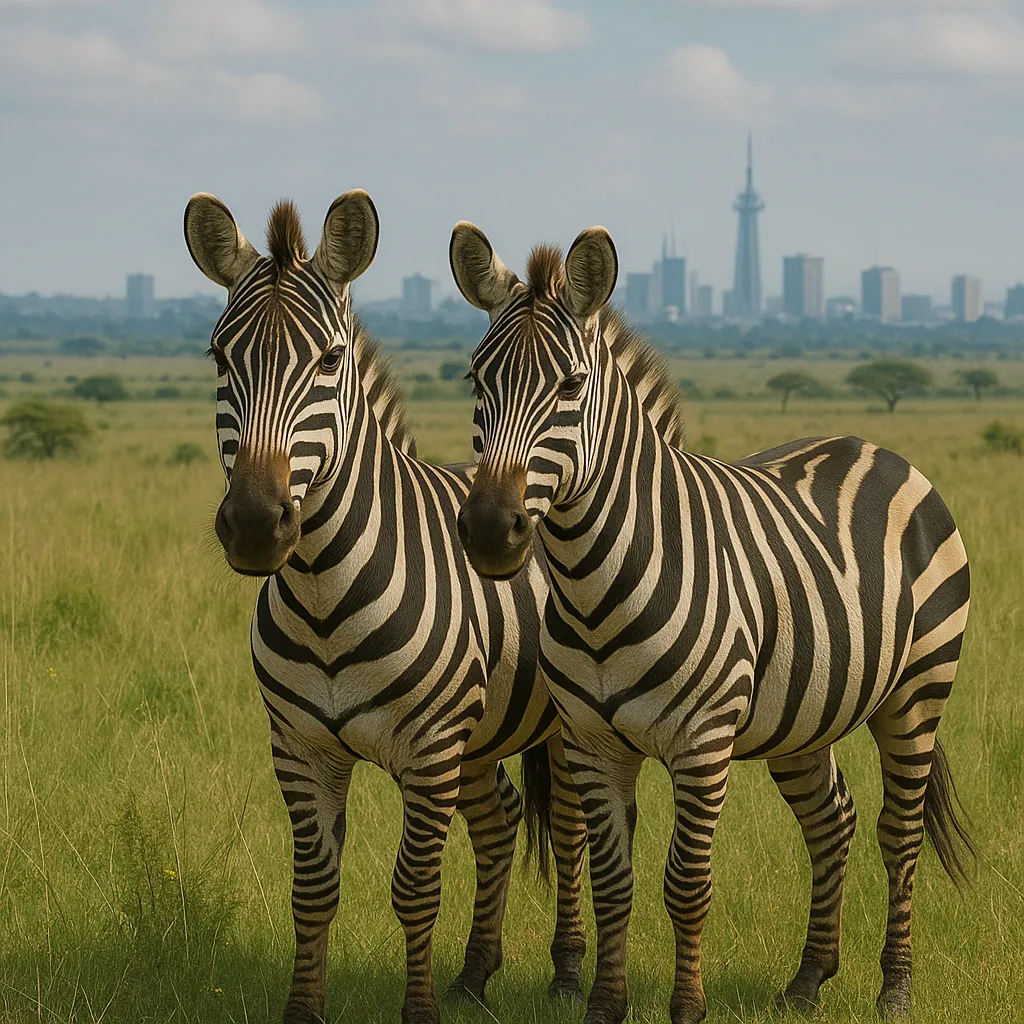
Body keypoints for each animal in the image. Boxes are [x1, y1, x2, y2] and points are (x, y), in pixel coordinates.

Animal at [182, 190, 588, 1024]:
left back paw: (565, 973)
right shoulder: (300, 747)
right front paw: (304, 1010)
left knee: (565, 826)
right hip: (479, 733)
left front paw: (420, 1011)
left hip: (556, 721)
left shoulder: (428, 751)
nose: (254, 523)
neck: (324, 594)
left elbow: (415, 890)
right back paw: (474, 976)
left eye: (328, 363)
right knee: (500, 821)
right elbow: (312, 891)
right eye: (219, 359)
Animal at [449, 221, 974, 1024]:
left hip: (917, 693)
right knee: (833, 819)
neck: (598, 586)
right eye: (477, 382)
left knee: (900, 832)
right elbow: (614, 882)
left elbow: (685, 883)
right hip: (804, 713)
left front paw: (686, 1007)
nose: (487, 530)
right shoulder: (593, 741)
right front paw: (603, 1006)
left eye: (570, 386)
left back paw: (894, 989)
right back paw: (807, 980)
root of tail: (877, 447)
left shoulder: (701, 743)